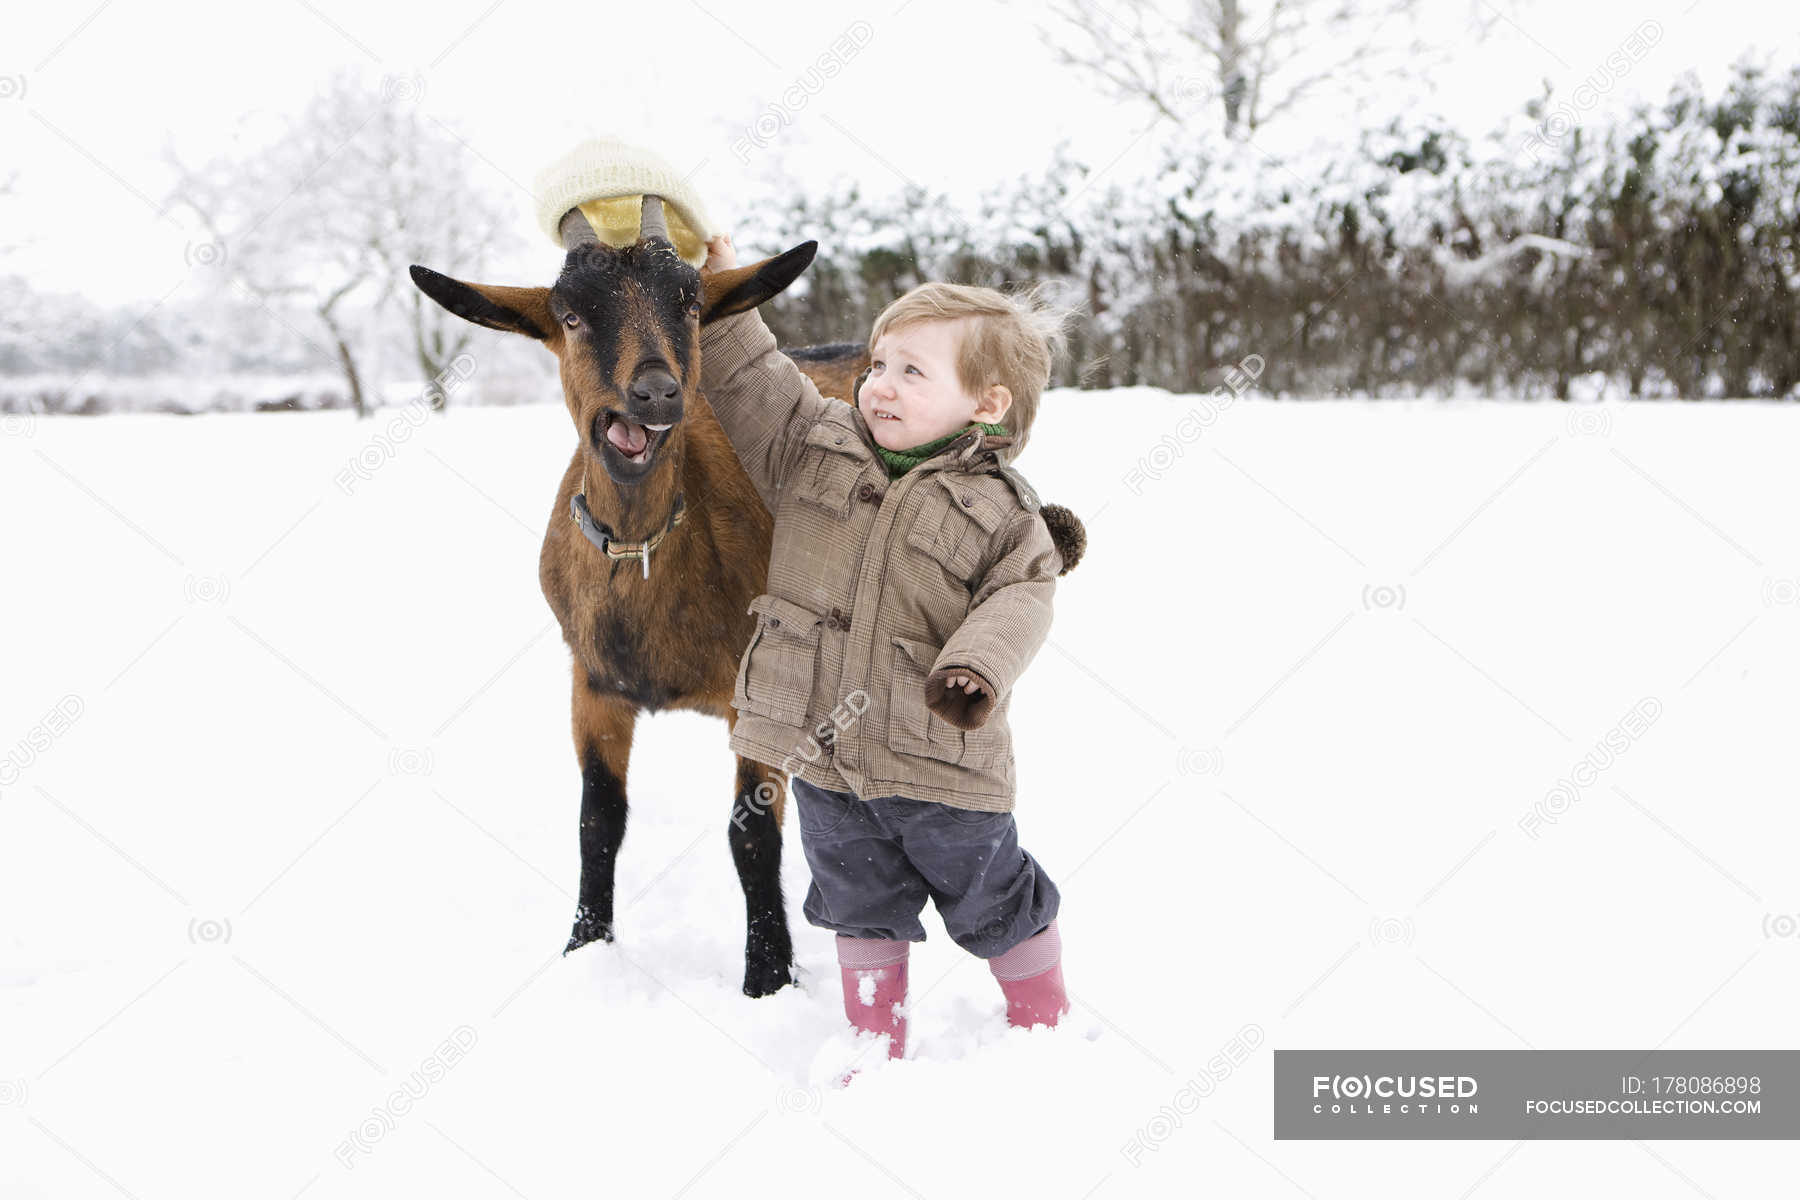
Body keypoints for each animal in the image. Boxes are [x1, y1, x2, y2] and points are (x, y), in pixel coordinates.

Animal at [412, 204, 860, 993]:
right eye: (570, 314)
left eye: (690, 302)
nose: (654, 391)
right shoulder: (592, 685)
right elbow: (598, 820)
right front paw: (584, 947)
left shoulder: (756, 693)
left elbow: (750, 834)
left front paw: (768, 977)